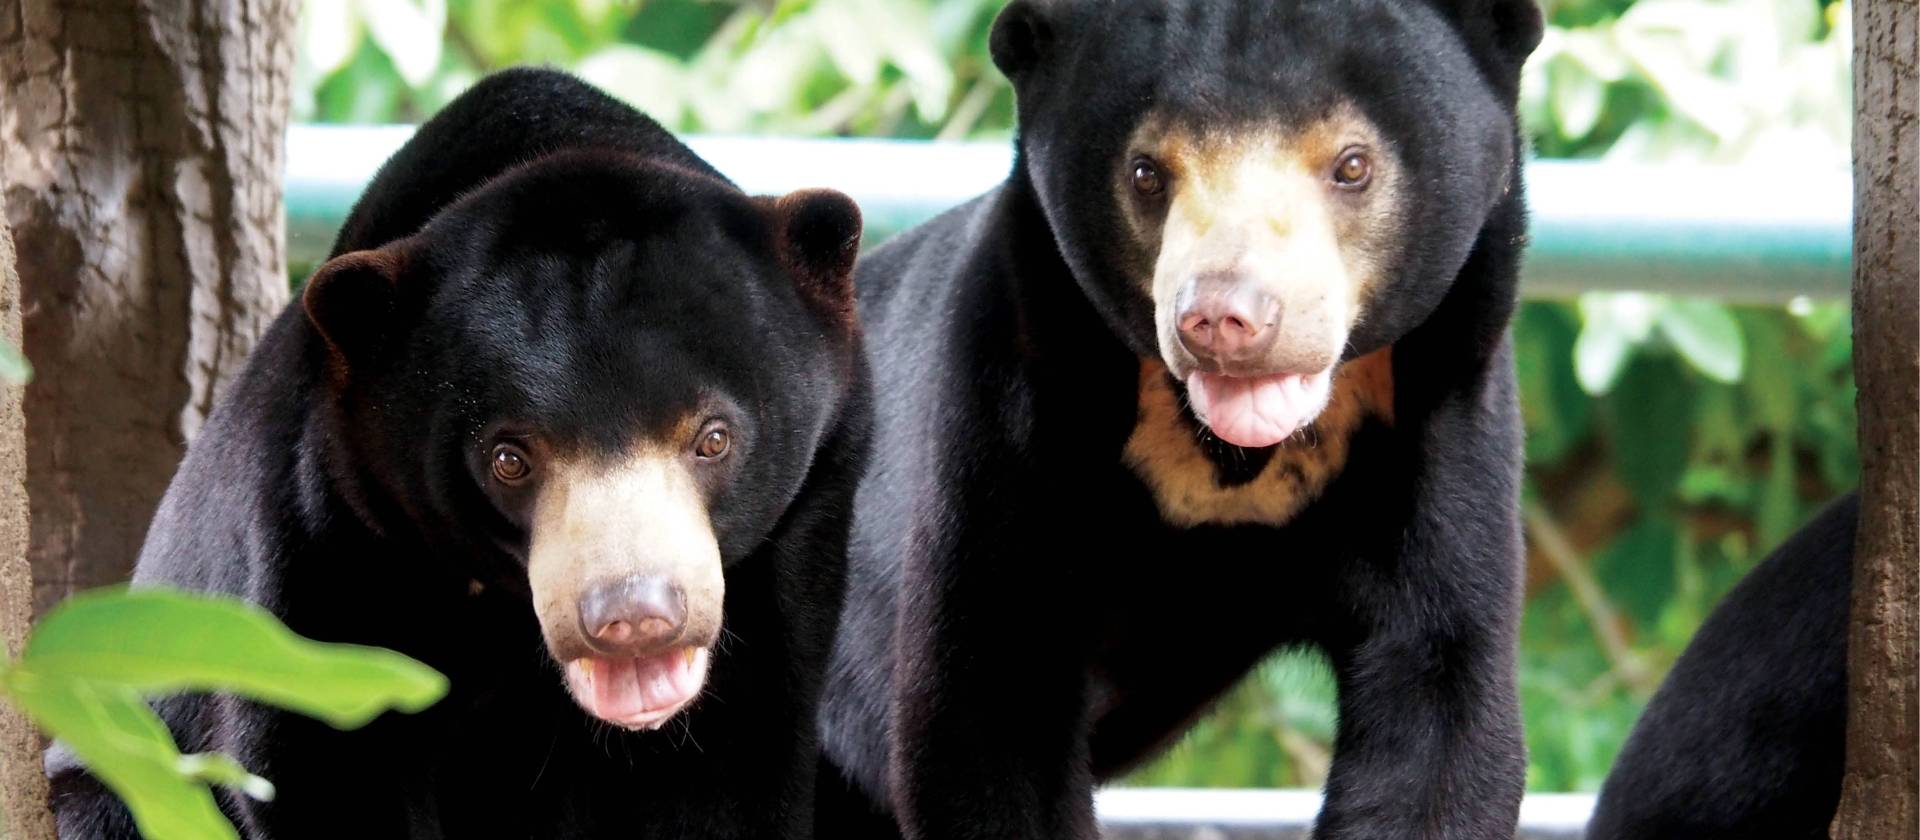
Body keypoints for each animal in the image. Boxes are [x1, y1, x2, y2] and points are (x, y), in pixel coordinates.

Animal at [49, 67, 870, 839]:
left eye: (712, 437)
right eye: (510, 459)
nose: (633, 617)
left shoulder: (799, 532)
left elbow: (735, 761)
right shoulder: (327, 533)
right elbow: (327, 751)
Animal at [813, 2, 1542, 838]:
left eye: (1352, 164)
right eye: (1146, 173)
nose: (1224, 318)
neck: (1231, 453)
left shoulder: (1444, 423)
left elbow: (1438, 704)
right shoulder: (1009, 405)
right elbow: (988, 708)